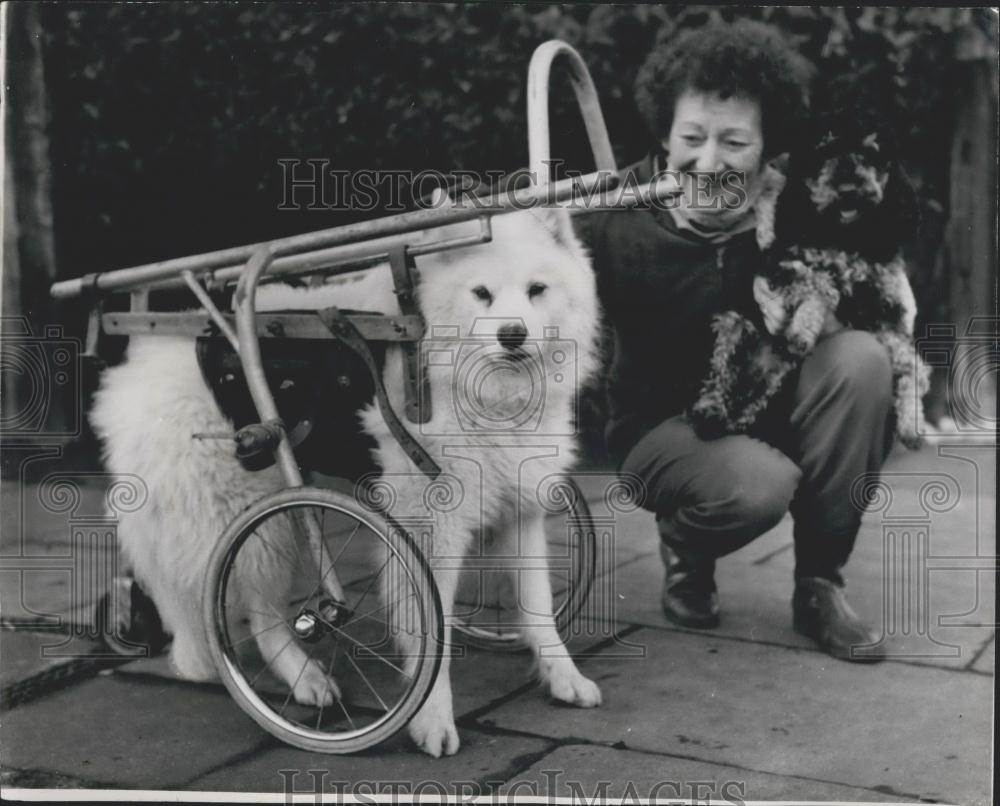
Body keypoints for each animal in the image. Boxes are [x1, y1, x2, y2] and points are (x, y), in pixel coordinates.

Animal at [90, 202, 600, 756]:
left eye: (537, 290)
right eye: (481, 293)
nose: (512, 335)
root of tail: (135, 369)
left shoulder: (519, 509)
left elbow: (539, 608)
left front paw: (564, 678)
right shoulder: (427, 529)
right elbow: (430, 637)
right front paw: (431, 719)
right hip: (261, 522)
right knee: (263, 616)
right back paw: (307, 680)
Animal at [692, 121, 924, 448]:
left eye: (870, 152)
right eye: (823, 151)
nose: (848, 191)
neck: (847, 238)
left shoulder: (884, 312)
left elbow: (911, 364)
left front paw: (910, 420)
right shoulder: (779, 265)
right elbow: (820, 282)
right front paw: (803, 328)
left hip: (776, 373)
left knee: (751, 403)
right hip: (733, 324)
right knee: (720, 373)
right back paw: (709, 411)